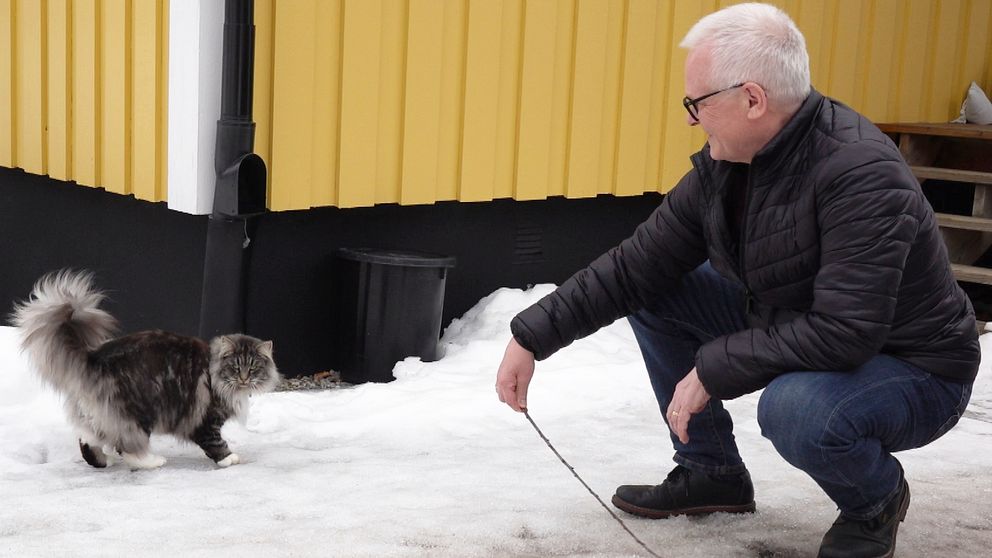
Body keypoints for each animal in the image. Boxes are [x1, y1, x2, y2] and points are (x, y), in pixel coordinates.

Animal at [11, 270, 280, 470]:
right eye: (235, 367)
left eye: (253, 367)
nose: (243, 379)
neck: (214, 371)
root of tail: (94, 357)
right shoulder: (206, 421)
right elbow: (216, 443)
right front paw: (230, 459)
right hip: (139, 412)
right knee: (126, 447)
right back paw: (153, 462)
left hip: (102, 415)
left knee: (88, 439)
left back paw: (105, 461)